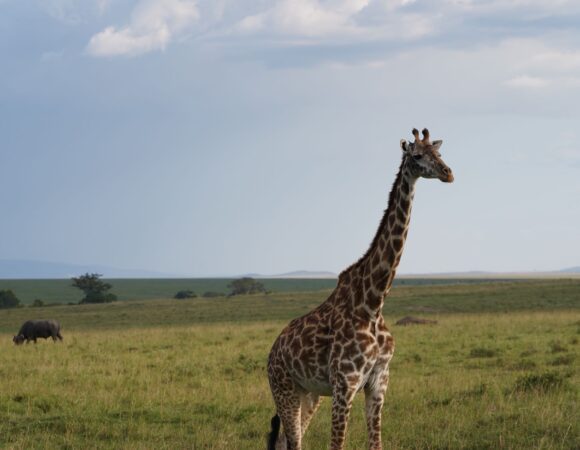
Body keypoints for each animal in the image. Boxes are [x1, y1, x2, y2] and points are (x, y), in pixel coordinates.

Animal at [266, 128, 454, 448]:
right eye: (417, 155)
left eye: (439, 153)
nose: (448, 173)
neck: (373, 302)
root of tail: (271, 353)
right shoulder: (345, 385)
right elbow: (336, 444)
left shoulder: (379, 383)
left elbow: (375, 443)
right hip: (284, 388)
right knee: (293, 441)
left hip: (309, 393)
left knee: (284, 441)